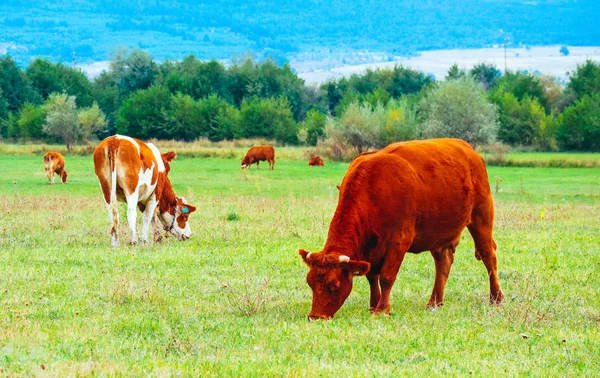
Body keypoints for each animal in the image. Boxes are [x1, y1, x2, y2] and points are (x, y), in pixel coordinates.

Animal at [298, 137, 502, 320]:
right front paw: (373, 305)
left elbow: (386, 277)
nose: (315, 316)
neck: (373, 188)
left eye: (333, 285)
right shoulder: (370, 248)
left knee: (488, 256)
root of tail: (469, 150)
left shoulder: (399, 242)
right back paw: (434, 302)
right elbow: (371, 276)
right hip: (438, 233)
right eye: (310, 283)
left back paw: (496, 298)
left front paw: (382, 310)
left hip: (481, 216)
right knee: (443, 263)